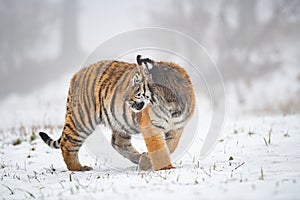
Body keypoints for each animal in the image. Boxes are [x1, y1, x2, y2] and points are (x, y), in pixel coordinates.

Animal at [39, 55, 195, 171]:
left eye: (137, 84)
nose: (125, 99)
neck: (171, 105)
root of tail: (76, 74)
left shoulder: (177, 128)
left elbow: (171, 146)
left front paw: (149, 161)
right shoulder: (151, 126)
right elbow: (159, 147)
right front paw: (164, 168)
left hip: (121, 123)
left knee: (118, 143)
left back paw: (140, 158)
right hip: (82, 121)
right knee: (67, 144)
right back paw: (78, 168)